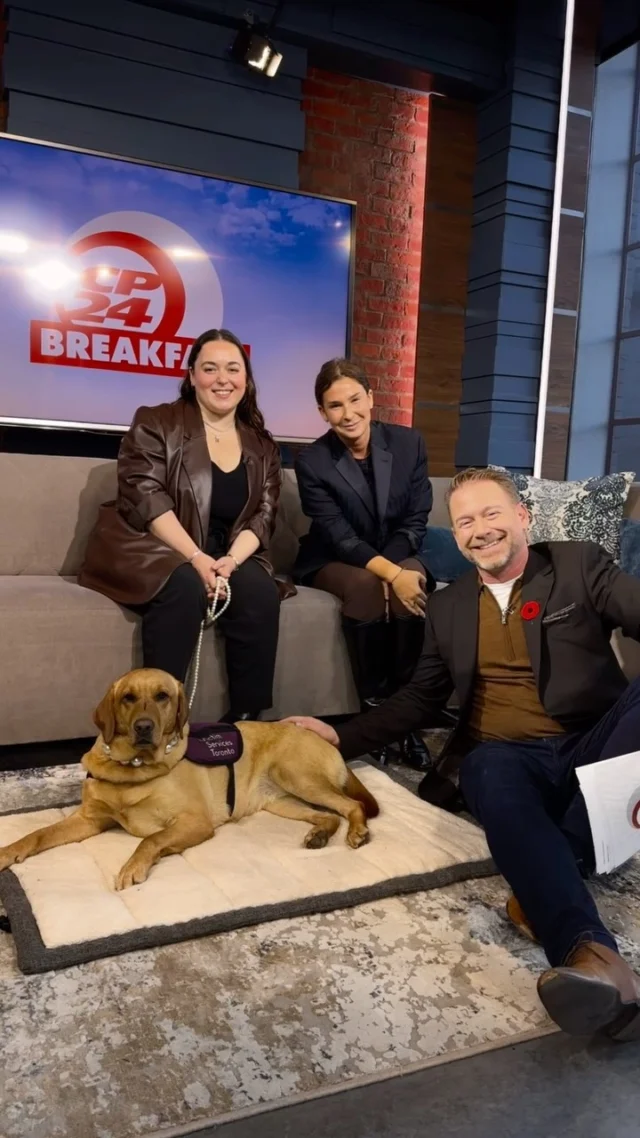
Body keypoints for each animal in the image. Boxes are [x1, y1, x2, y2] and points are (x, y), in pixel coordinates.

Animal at [0, 664, 378, 887]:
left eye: (162, 696)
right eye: (128, 698)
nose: (143, 727)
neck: (131, 767)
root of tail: (319, 735)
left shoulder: (195, 822)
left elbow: (150, 839)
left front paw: (134, 866)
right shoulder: (89, 819)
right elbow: (38, 833)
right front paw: (8, 851)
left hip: (295, 776)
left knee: (351, 806)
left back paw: (357, 831)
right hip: (282, 800)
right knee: (330, 815)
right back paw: (318, 835)